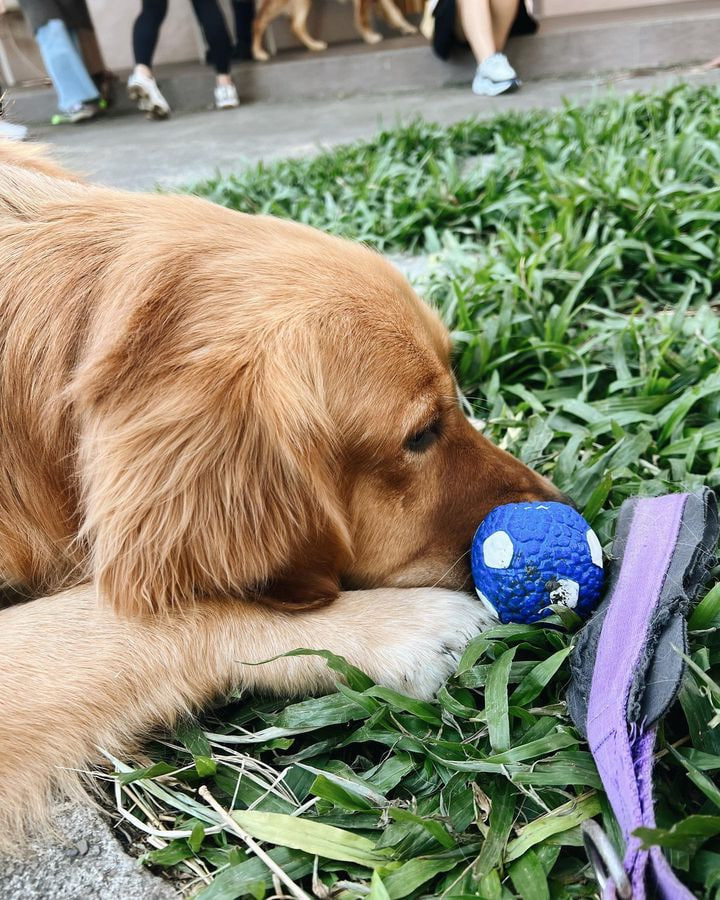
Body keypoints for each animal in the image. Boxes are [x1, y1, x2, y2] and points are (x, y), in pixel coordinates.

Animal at [250, 0, 416, 60]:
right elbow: (362, 18)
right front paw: (369, 36)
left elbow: (395, 12)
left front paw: (407, 27)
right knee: (259, 23)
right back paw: (258, 53)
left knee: (295, 26)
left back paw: (314, 46)